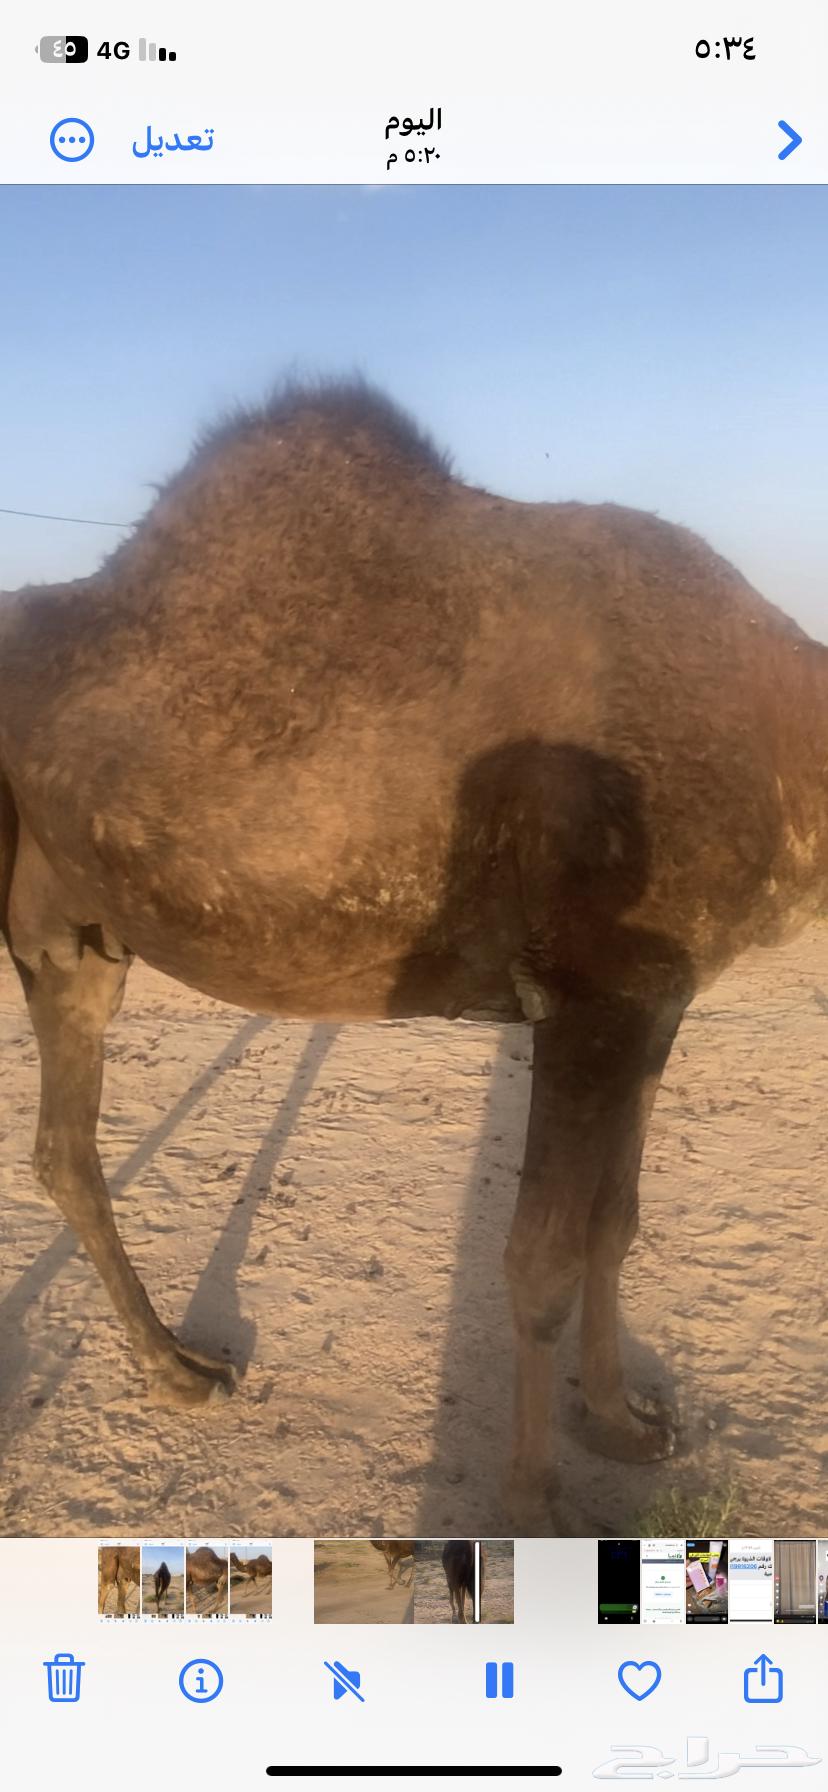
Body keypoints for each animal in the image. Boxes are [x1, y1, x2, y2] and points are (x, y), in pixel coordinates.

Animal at [2, 378, 827, 1528]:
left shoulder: (657, 995)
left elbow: (614, 1218)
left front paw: (623, 1424)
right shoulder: (590, 988)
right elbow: (539, 1259)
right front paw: (533, 1504)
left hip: (78, 940)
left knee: (64, 1151)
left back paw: (179, 1366)